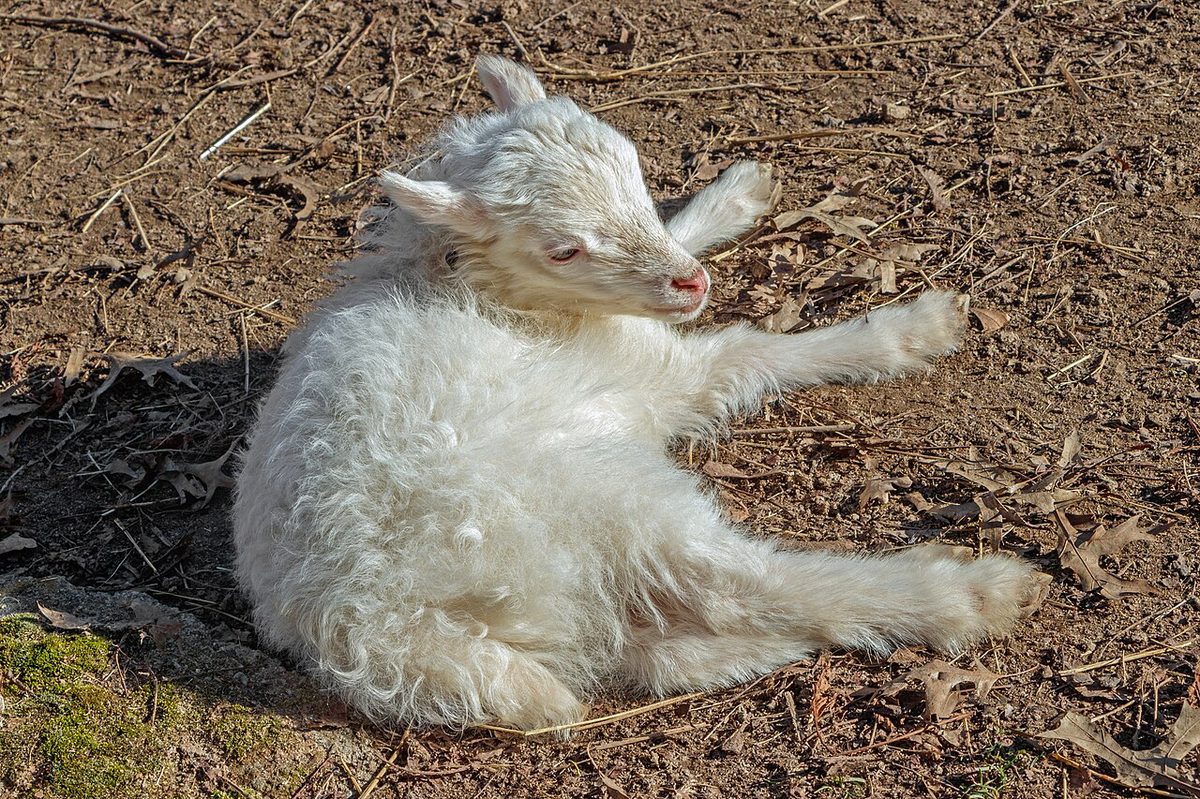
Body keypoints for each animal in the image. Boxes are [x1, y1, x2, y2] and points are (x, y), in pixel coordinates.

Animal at [233, 55, 1034, 732]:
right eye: (563, 249)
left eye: (635, 173)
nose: (689, 285)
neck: (477, 286)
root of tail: (377, 628)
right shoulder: (656, 369)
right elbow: (751, 350)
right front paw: (915, 328)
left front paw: (738, 192)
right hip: (592, 499)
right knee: (735, 582)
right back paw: (970, 592)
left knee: (671, 647)